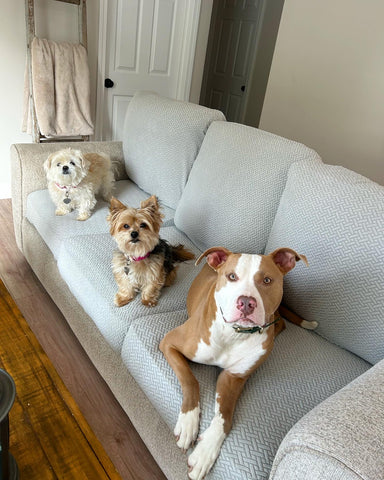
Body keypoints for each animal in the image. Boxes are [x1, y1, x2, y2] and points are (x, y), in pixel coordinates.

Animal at [158, 246, 316, 478]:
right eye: (231, 276)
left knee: (281, 323)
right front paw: (188, 423)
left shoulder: (233, 378)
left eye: (267, 280)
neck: (234, 334)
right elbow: (190, 380)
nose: (247, 303)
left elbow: (225, 417)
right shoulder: (169, 343)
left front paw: (205, 452)